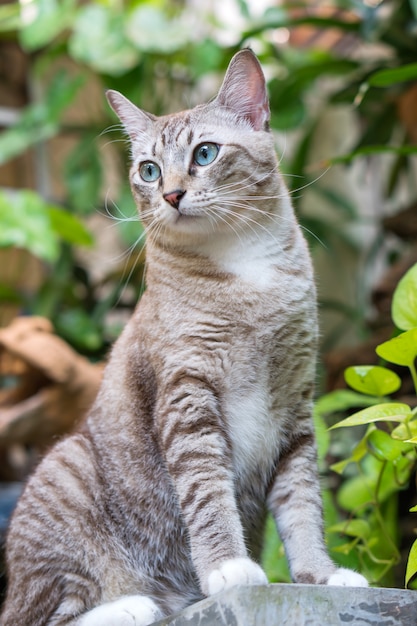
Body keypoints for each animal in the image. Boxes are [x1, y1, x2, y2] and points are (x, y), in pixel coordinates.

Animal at [0, 51, 366, 624]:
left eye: (205, 153)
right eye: (149, 170)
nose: (171, 194)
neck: (244, 268)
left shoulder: (296, 406)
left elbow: (303, 505)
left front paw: (323, 577)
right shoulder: (187, 395)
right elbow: (207, 490)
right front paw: (229, 567)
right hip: (66, 474)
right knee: (41, 616)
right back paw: (134, 605)